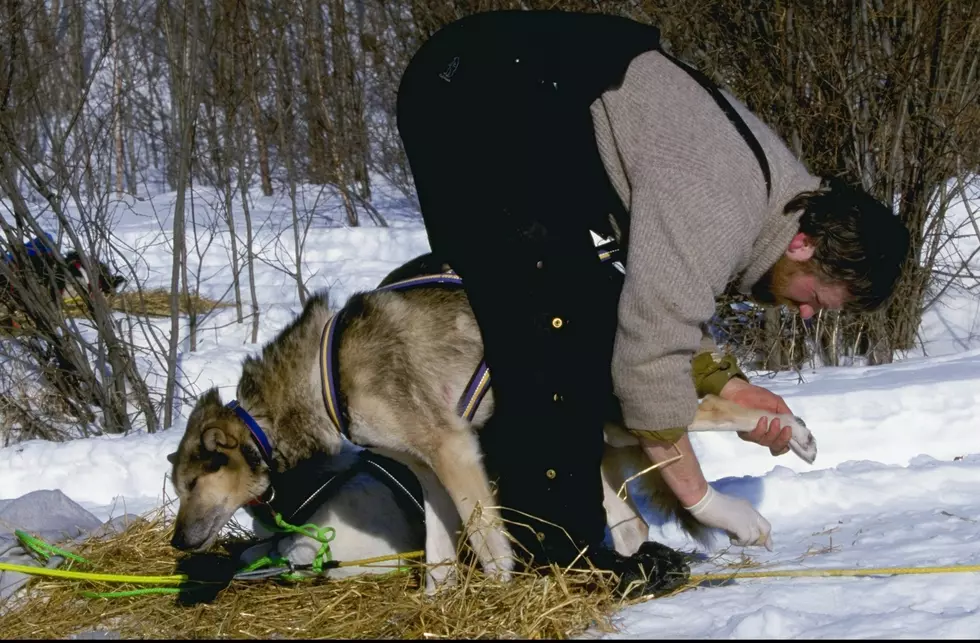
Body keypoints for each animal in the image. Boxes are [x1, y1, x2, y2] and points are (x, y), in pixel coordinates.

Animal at [170, 262, 820, 592]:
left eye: (194, 484)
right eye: (176, 487)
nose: (176, 542)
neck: (322, 378)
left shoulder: (454, 452)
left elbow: (486, 541)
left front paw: (500, 587)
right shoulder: (427, 470)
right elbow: (437, 555)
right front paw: (438, 604)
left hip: (625, 413)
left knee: (727, 415)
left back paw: (788, 433)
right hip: (606, 437)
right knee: (631, 517)